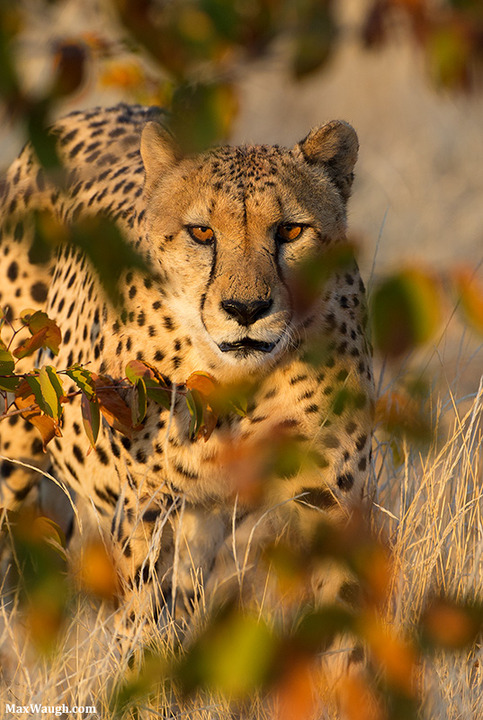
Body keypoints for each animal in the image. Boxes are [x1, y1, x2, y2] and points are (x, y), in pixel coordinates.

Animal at [0, 103, 374, 673]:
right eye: (201, 232)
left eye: (290, 230)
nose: (246, 309)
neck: (242, 383)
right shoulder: (145, 504)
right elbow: (141, 621)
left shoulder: (333, 498)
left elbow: (347, 631)